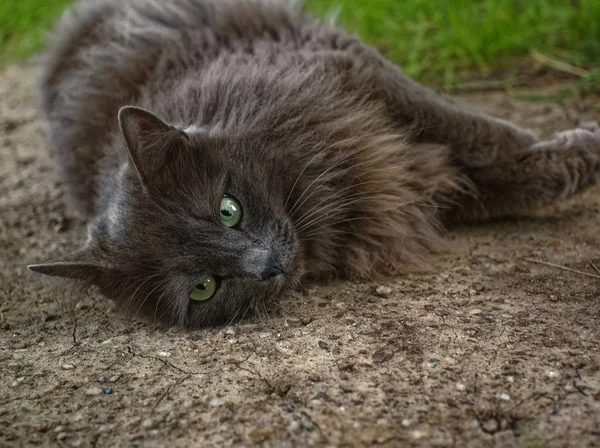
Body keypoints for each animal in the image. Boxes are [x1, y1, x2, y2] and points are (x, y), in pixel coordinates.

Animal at [30, 0, 600, 328]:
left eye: (229, 210)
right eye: (203, 287)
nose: (269, 266)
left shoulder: (348, 69)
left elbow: (478, 134)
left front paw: (576, 144)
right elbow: (488, 187)